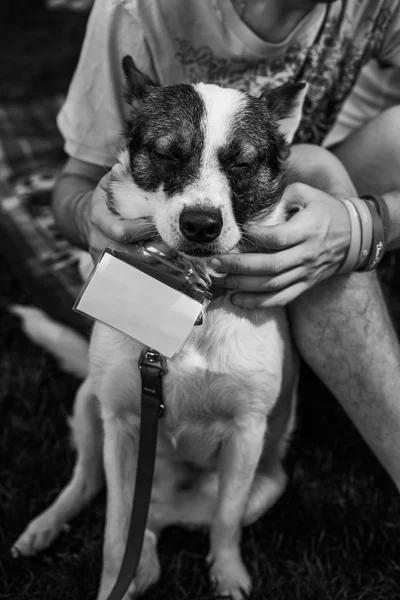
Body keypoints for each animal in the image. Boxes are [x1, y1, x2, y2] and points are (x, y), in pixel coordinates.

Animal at [12, 57, 306, 600]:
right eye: (168, 153)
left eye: (241, 163)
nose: (201, 224)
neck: (187, 289)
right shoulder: (122, 423)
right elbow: (114, 531)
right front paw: (111, 581)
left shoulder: (248, 432)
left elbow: (225, 523)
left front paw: (228, 574)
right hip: (88, 405)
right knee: (90, 486)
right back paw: (49, 527)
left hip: (269, 484)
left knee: (166, 527)